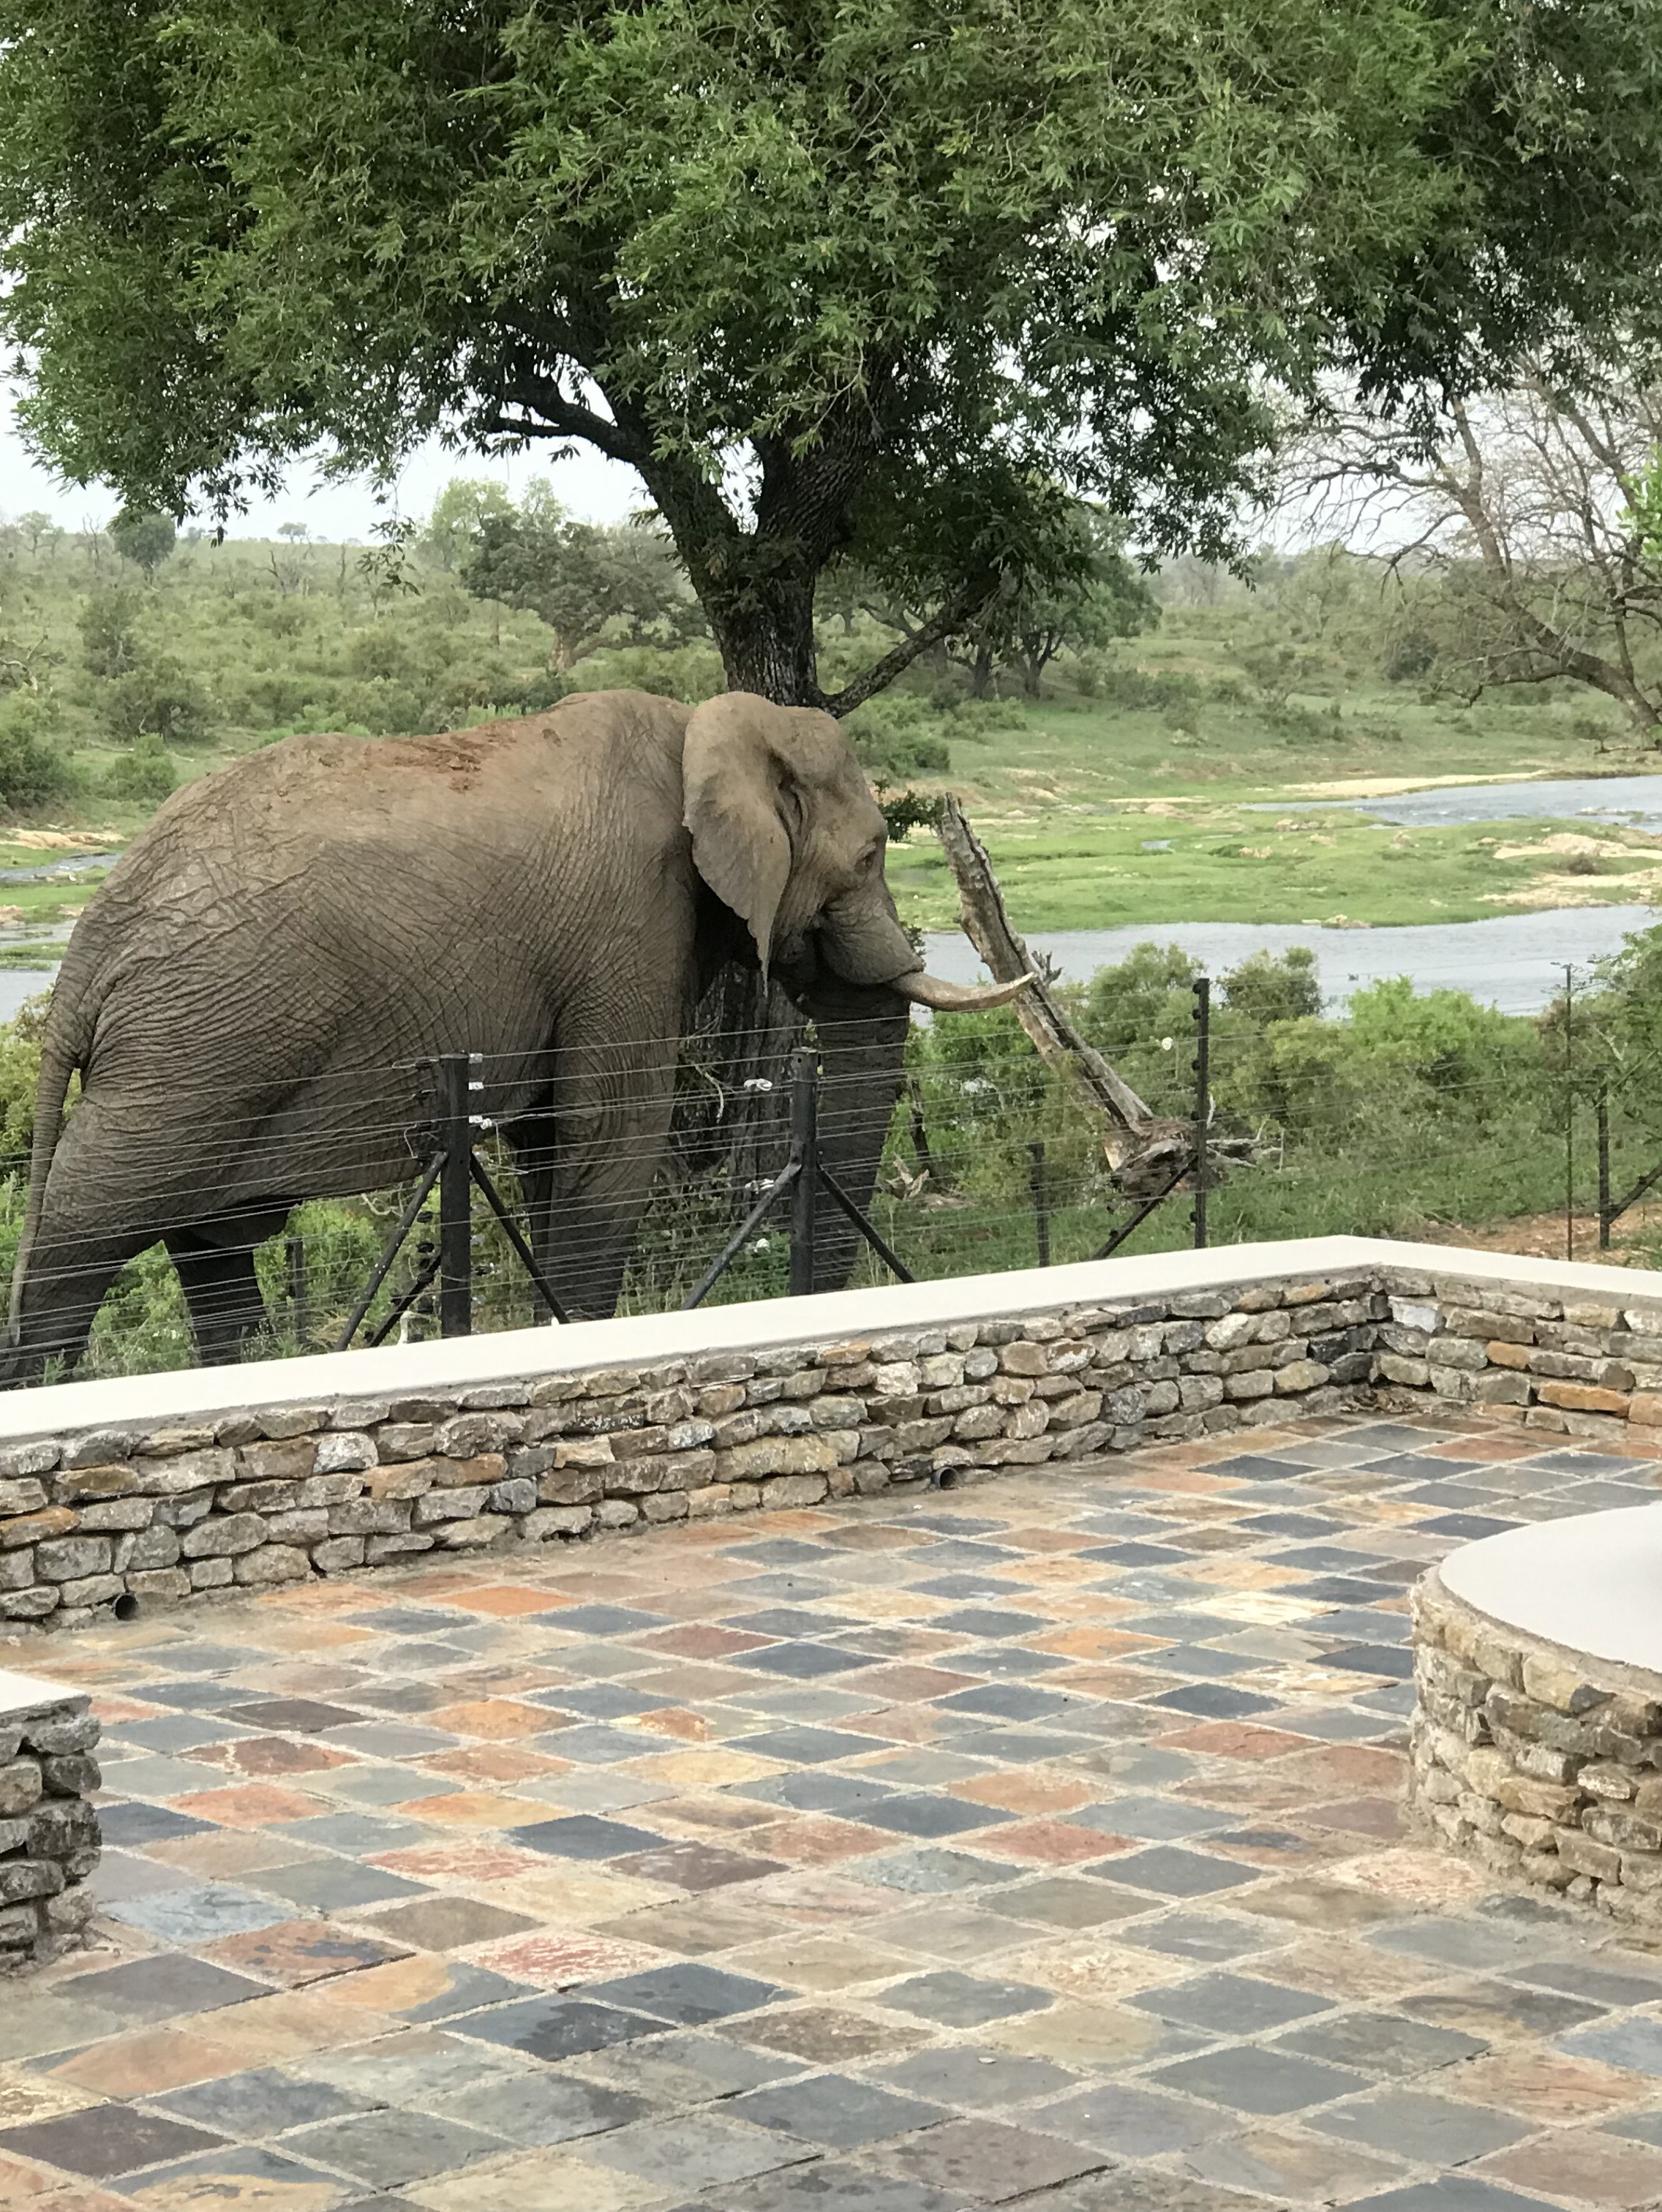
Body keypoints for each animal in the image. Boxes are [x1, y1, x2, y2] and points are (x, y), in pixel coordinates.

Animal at [4, 688, 1025, 1379]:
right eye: (872, 853)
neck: (704, 725)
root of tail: (86, 954)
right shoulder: (628, 919)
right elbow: (608, 1136)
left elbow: (547, 1142)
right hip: (196, 1043)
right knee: (89, 1220)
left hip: (208, 1035)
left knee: (210, 1237)